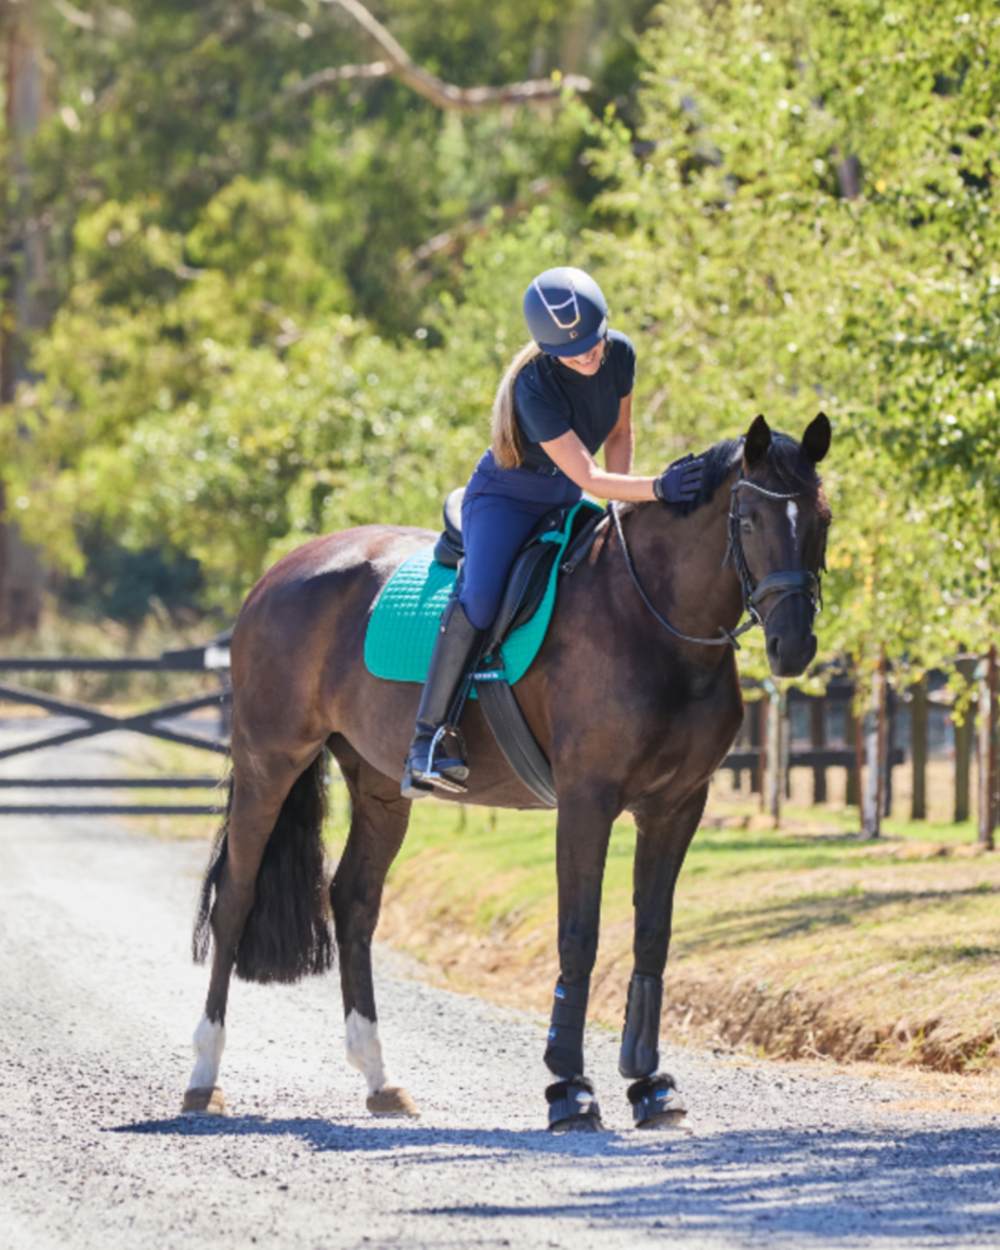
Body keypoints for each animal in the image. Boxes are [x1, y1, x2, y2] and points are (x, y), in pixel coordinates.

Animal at [184, 411, 832, 1129]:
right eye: (749, 519)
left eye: (823, 519)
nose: (794, 645)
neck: (650, 620)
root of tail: (281, 573)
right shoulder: (586, 801)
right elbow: (578, 935)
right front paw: (570, 1088)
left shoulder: (676, 806)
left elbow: (652, 937)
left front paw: (650, 1084)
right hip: (270, 761)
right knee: (235, 898)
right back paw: (204, 1077)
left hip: (379, 785)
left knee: (354, 901)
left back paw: (380, 1080)